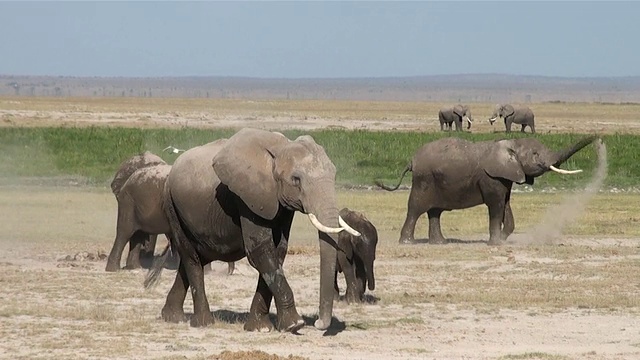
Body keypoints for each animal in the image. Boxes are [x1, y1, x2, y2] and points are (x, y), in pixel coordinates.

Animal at [376, 135, 596, 245]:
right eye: (535, 154)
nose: (598, 139)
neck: (510, 143)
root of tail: (411, 161)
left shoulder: (506, 176)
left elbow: (506, 202)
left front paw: (503, 239)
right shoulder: (491, 178)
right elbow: (496, 204)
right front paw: (496, 243)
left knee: (435, 212)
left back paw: (440, 243)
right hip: (424, 180)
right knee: (415, 209)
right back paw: (407, 242)